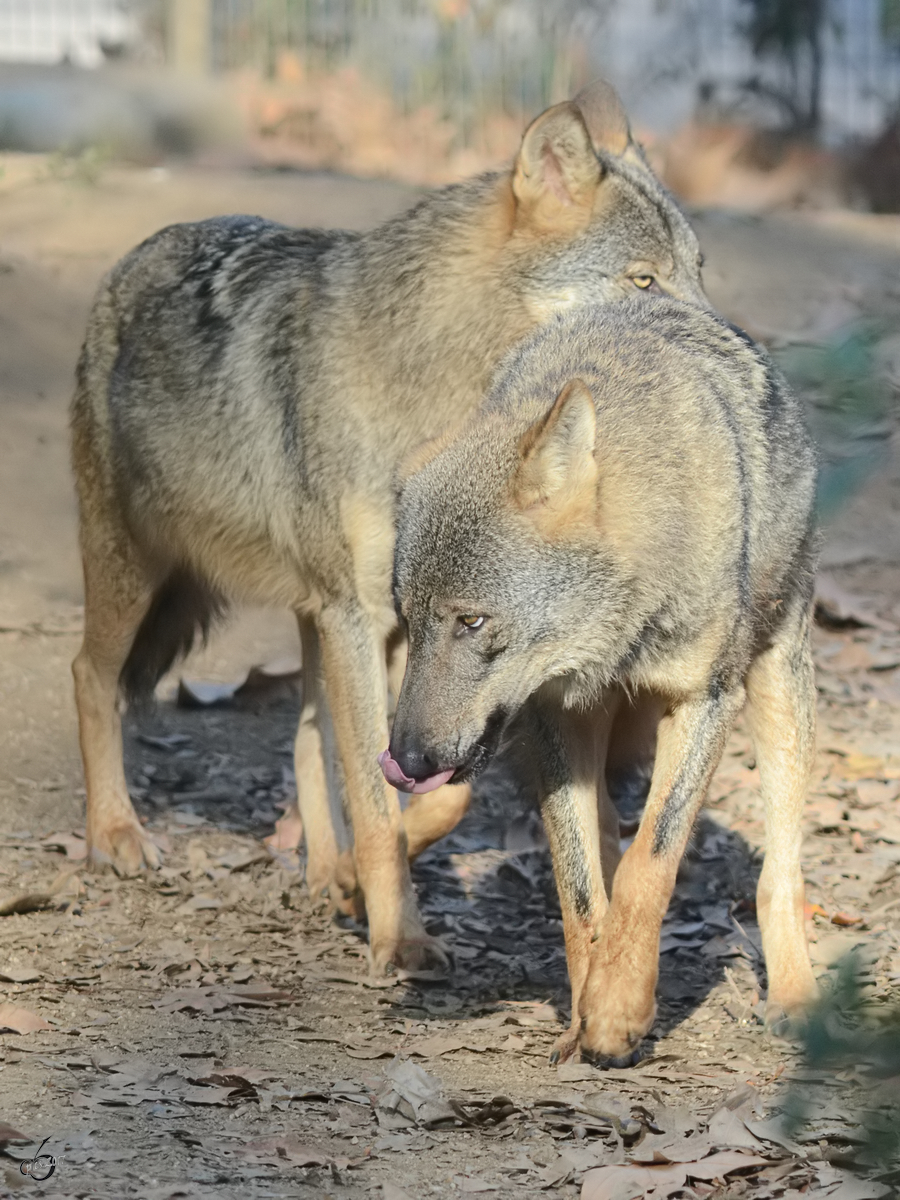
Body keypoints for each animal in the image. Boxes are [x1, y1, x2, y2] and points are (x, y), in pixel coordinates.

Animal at [384, 297, 820, 1060]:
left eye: (471, 621)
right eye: (406, 621)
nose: (405, 760)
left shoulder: (704, 701)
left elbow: (653, 857)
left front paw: (618, 1009)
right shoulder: (556, 717)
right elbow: (580, 885)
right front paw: (590, 1006)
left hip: (776, 689)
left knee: (778, 873)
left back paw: (795, 996)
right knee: (608, 837)